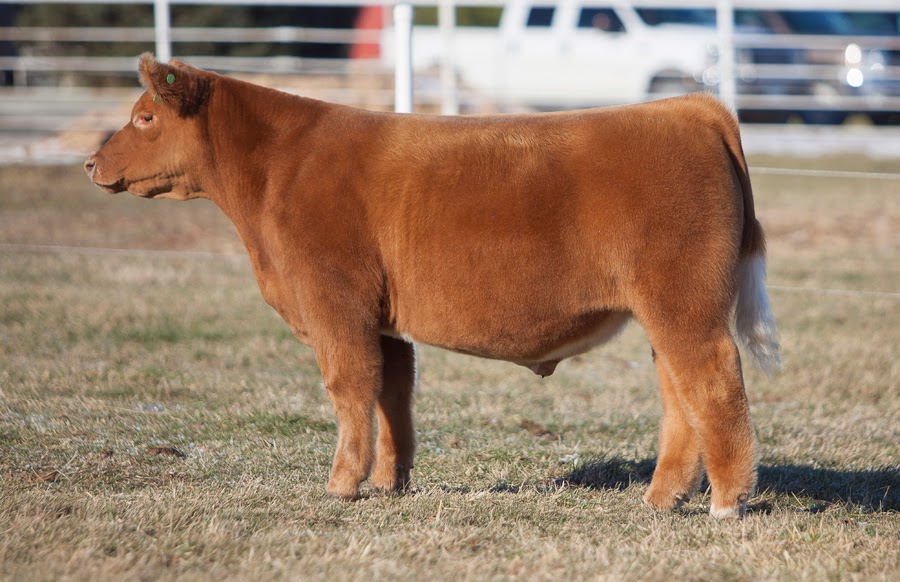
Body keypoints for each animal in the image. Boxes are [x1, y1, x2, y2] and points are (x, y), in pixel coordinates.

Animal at [85, 54, 781, 519]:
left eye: (143, 117)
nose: (90, 162)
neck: (276, 173)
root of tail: (691, 108)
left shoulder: (335, 304)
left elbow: (350, 389)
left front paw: (342, 485)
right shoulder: (384, 321)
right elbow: (392, 396)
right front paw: (389, 483)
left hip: (685, 305)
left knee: (714, 383)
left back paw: (726, 502)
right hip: (664, 311)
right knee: (679, 396)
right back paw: (662, 498)